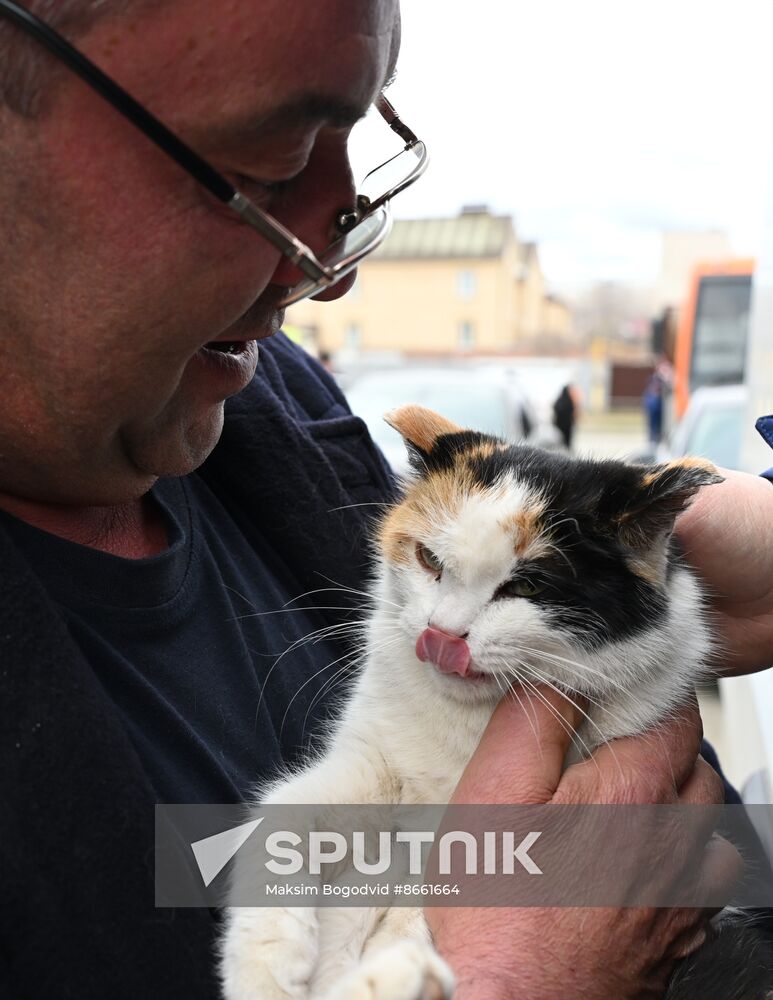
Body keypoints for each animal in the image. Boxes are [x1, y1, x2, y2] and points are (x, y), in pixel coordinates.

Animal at [220, 402, 764, 996]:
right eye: (429, 559)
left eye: (526, 587)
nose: (442, 635)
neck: (465, 719)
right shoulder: (372, 759)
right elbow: (284, 815)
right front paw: (264, 961)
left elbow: (418, 907)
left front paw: (394, 967)